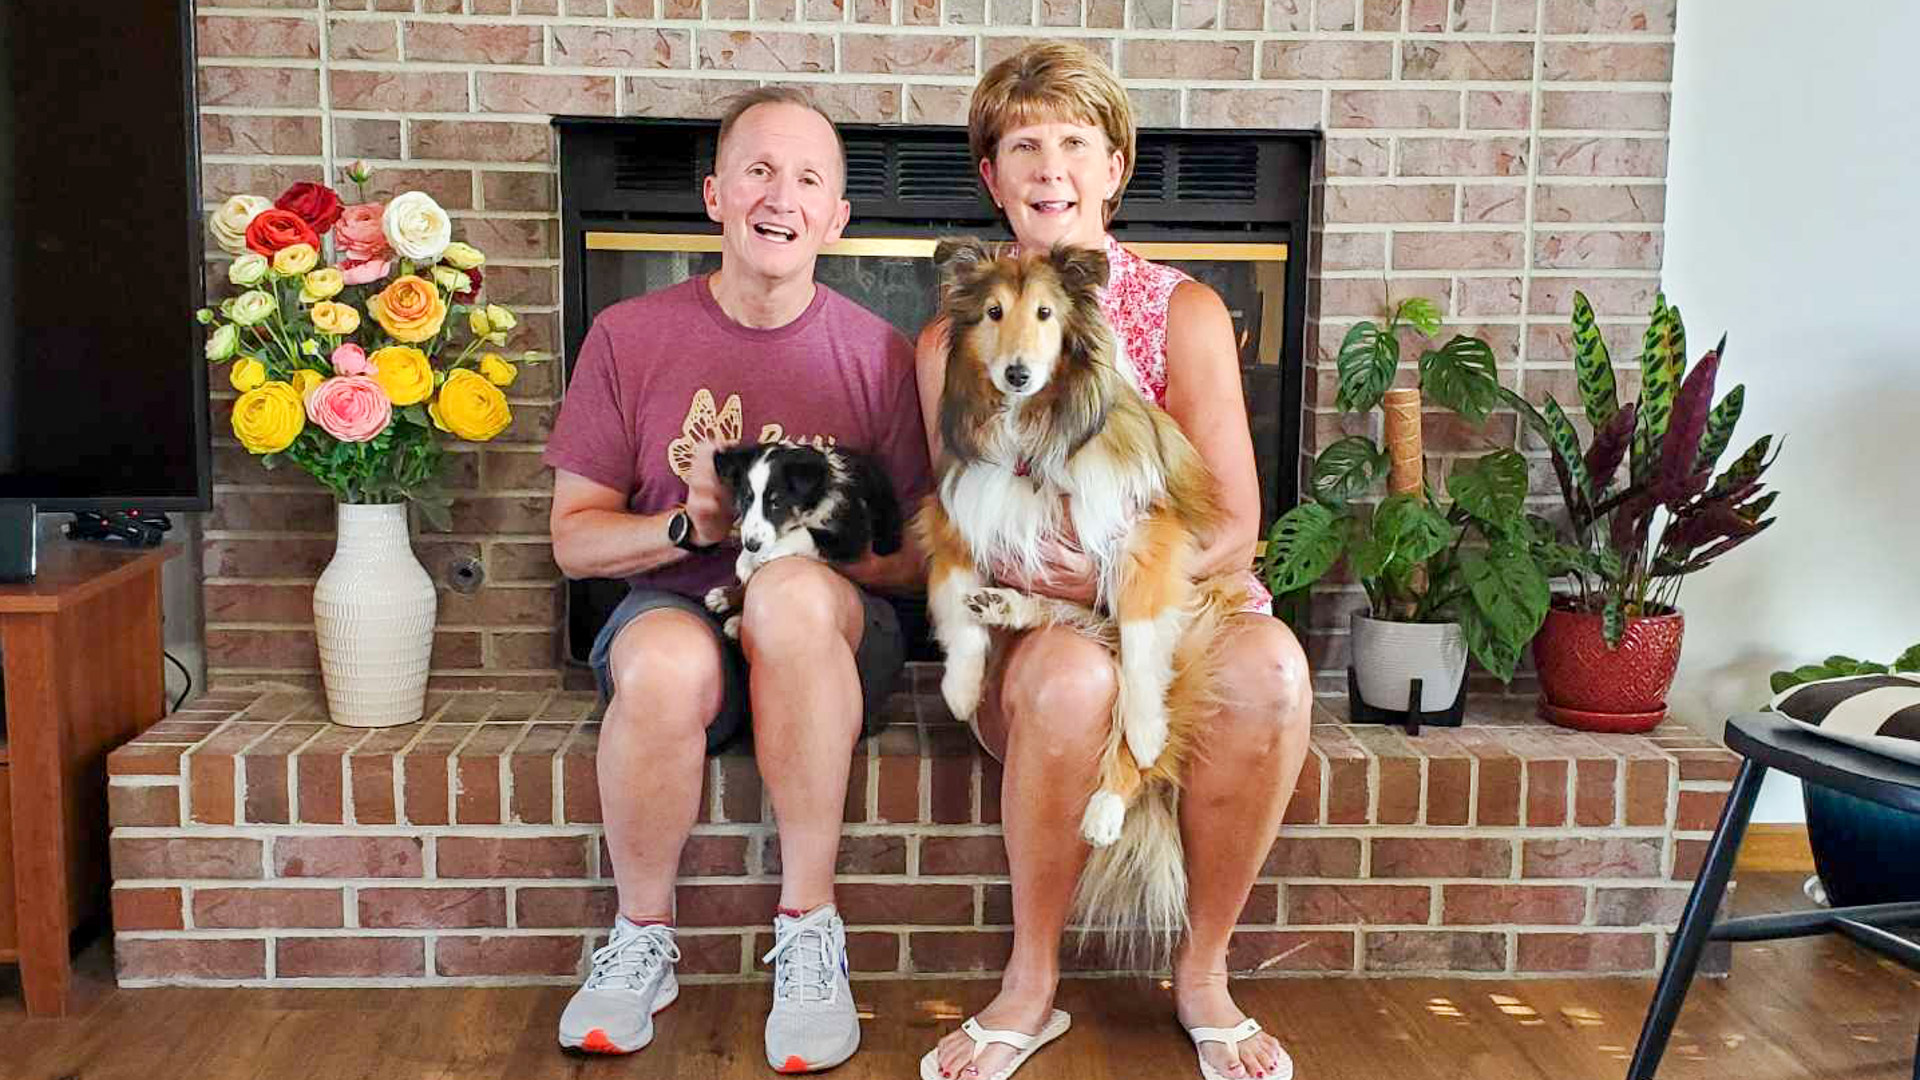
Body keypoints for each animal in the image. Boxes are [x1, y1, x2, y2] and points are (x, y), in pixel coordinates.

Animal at [703, 441, 904, 638]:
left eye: (776, 503)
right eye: (747, 499)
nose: (752, 546)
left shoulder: (853, 535)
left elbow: (806, 533)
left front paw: (760, 554)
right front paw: (745, 559)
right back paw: (725, 599)